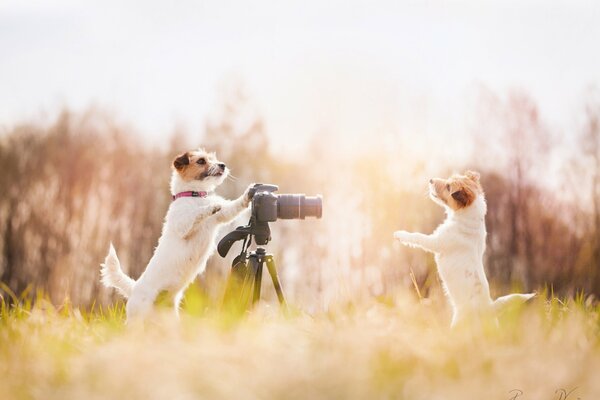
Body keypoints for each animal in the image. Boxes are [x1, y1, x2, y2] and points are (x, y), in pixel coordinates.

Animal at [101, 148, 255, 324]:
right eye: (201, 161)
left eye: (213, 158)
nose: (222, 165)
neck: (194, 195)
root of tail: (134, 288)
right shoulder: (183, 226)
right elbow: (197, 213)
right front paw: (210, 206)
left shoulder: (224, 215)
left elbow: (234, 206)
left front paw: (249, 194)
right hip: (137, 319)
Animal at [394, 170, 536, 326]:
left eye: (448, 187)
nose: (430, 180)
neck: (466, 216)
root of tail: (488, 309)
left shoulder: (436, 242)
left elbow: (417, 237)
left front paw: (400, 234)